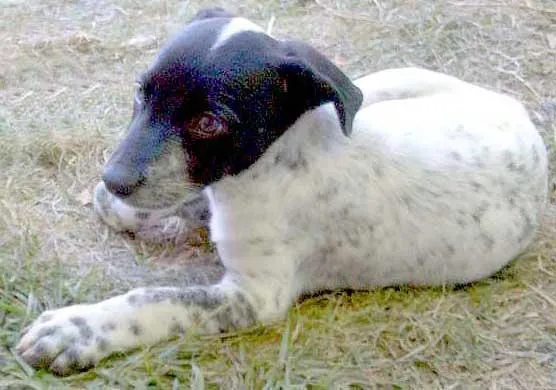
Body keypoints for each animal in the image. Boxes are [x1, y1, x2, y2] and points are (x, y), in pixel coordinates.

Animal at [16, 7, 548, 374]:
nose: (115, 178)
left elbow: (156, 300)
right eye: (141, 92)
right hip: (387, 84)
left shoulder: (253, 297)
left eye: (209, 123)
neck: (276, 161)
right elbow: (190, 197)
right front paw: (121, 207)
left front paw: (77, 330)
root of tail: (523, 118)